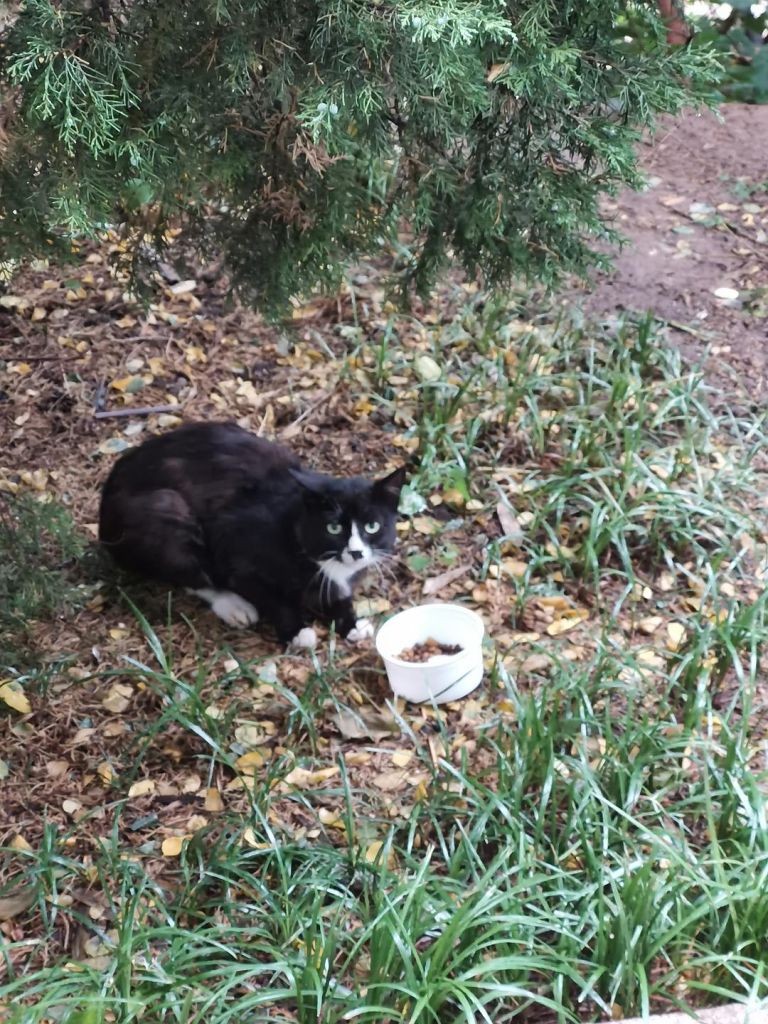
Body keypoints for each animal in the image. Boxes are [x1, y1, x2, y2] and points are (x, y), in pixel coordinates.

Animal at [99, 417, 405, 643]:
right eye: (333, 527)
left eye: (372, 526)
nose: (356, 552)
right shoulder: (238, 552)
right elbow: (271, 598)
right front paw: (297, 631)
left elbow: (338, 594)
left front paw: (351, 624)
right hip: (164, 508)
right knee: (190, 573)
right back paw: (233, 605)